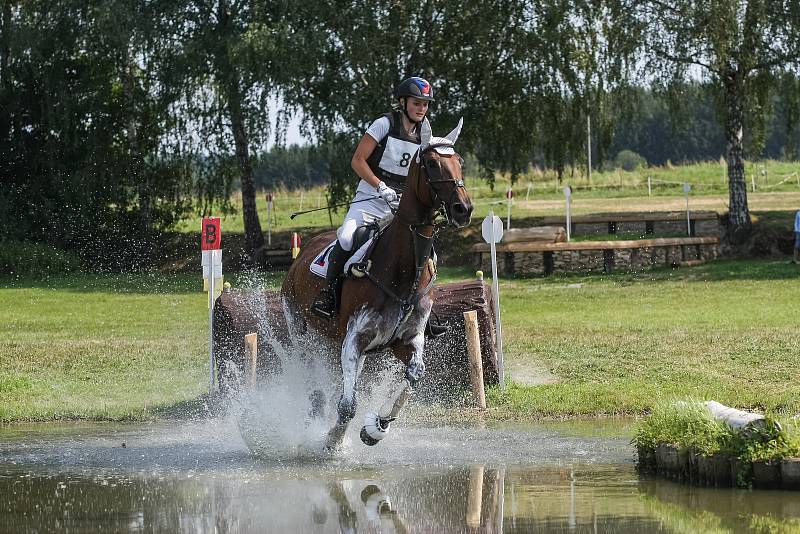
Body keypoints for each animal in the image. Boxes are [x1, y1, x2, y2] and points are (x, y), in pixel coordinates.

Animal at [282, 119, 472, 450]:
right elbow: (348, 405)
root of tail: (302, 253)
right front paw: (333, 441)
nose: (464, 209)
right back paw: (314, 412)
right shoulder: (355, 340)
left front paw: (377, 427)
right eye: (432, 164)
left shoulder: (406, 341)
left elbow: (414, 376)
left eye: (459, 162)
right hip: (300, 329)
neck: (401, 269)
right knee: (308, 372)